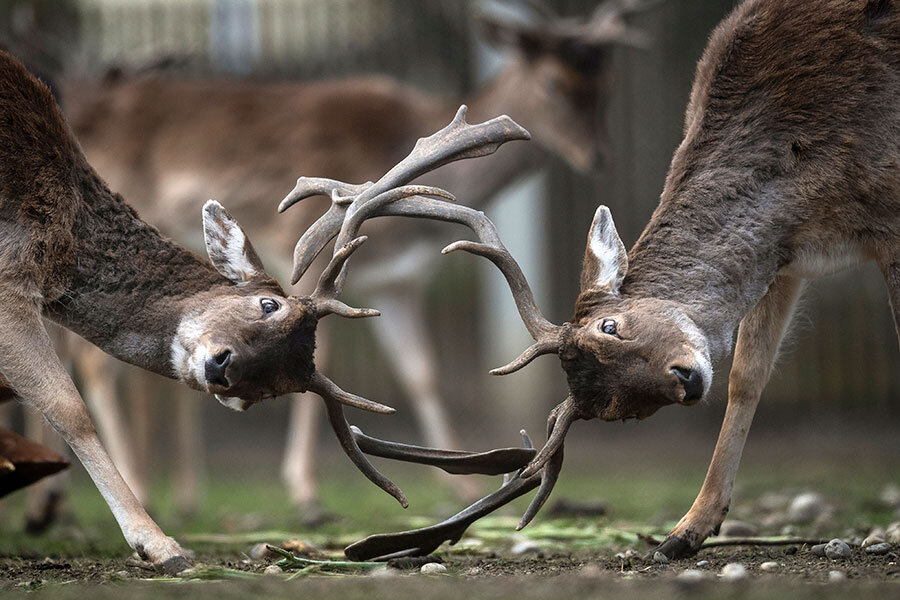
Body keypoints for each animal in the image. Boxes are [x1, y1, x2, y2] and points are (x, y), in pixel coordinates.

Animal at [0, 49, 552, 568]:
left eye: (262, 391)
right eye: (268, 303)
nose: (220, 366)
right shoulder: (11, 276)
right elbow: (69, 408)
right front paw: (160, 544)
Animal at [37, 0, 652, 524]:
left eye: (606, 84)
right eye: (553, 84)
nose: (598, 155)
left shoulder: (397, 284)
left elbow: (421, 371)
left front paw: (456, 480)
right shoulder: (298, 249)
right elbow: (324, 355)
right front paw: (306, 493)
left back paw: (80, 502)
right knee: (90, 356)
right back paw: (130, 489)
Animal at [342, 0, 900, 564]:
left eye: (610, 326)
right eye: (620, 412)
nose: (688, 380)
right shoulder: (788, 259)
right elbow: (747, 376)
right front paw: (686, 531)